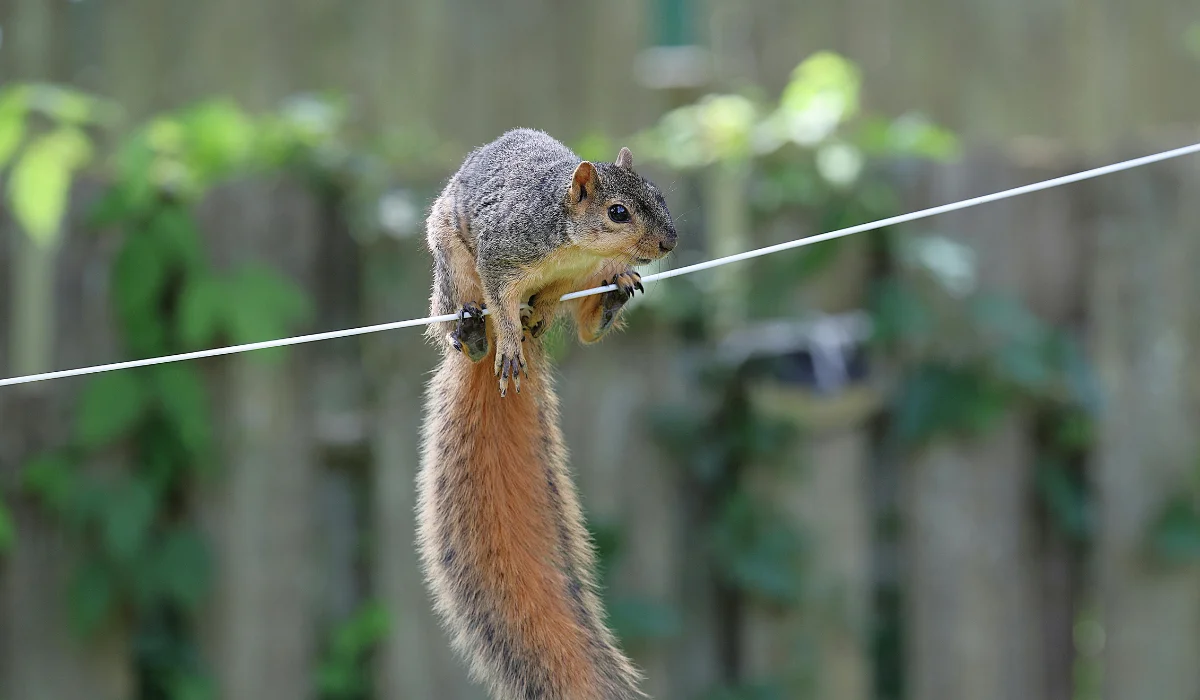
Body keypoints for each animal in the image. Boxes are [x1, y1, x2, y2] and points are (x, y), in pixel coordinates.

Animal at [415, 128, 677, 700]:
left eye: (660, 195)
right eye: (618, 212)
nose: (669, 243)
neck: (574, 247)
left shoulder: (573, 276)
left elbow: (558, 301)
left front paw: (551, 312)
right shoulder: (502, 251)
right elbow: (502, 296)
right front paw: (512, 339)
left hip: (577, 289)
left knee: (581, 324)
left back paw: (605, 303)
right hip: (452, 269)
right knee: (463, 316)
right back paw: (478, 336)